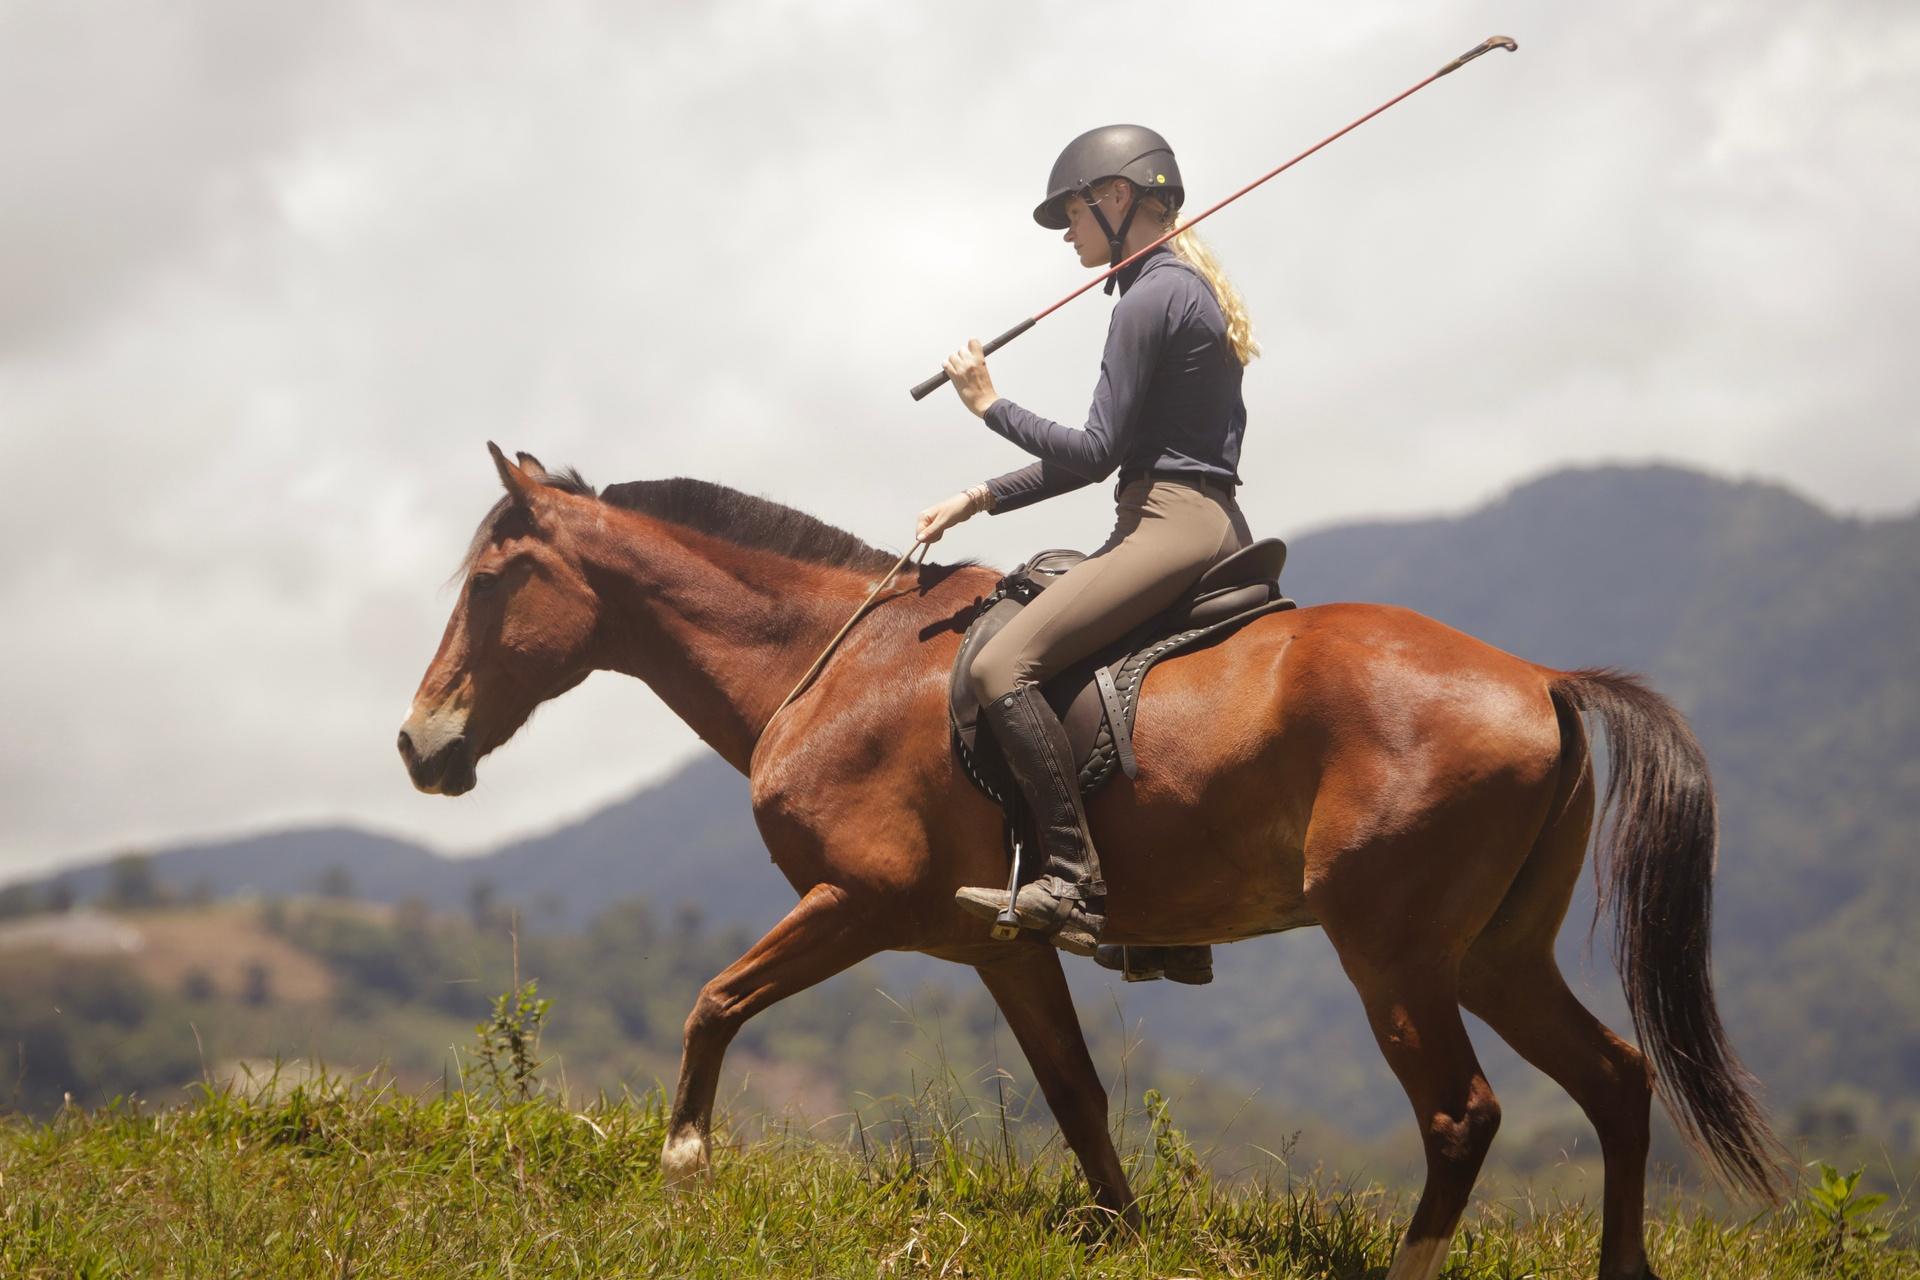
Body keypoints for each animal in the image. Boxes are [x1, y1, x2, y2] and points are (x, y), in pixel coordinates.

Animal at [398, 444, 1781, 1280]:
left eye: (492, 578)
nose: (419, 743)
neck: (835, 662)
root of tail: (1542, 679)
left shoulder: (858, 901)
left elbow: (713, 999)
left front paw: (683, 1160)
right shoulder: (1001, 943)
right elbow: (1074, 1091)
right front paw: (1117, 1231)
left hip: (1393, 952)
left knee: (1463, 1113)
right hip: (1494, 954)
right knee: (1615, 1079)